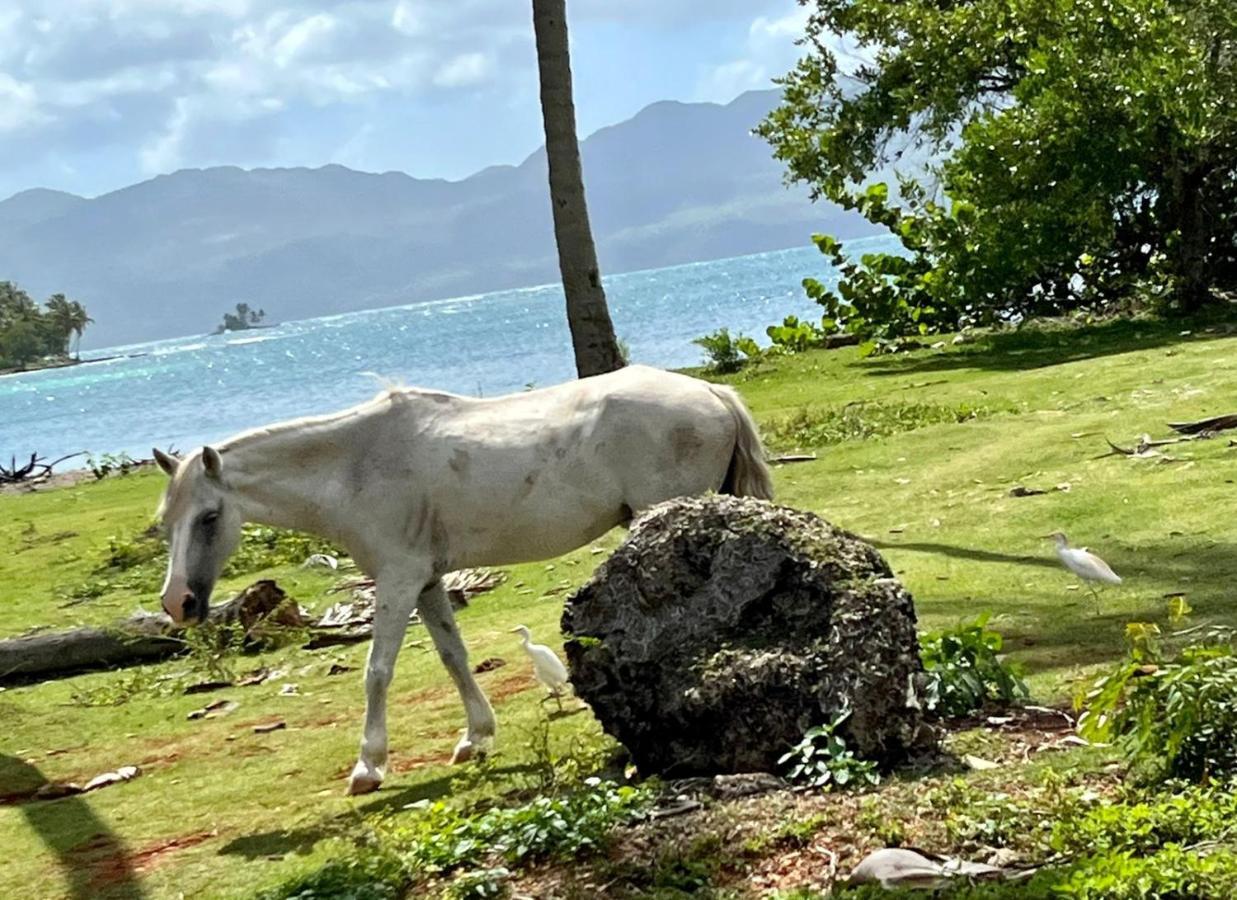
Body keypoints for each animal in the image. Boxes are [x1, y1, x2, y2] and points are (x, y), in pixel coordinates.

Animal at [152, 360, 771, 791]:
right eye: (167, 521)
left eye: (209, 517)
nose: (178, 602)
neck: (356, 466)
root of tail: (709, 393)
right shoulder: (426, 582)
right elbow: (454, 657)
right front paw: (476, 738)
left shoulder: (398, 581)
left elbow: (377, 672)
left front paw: (369, 767)